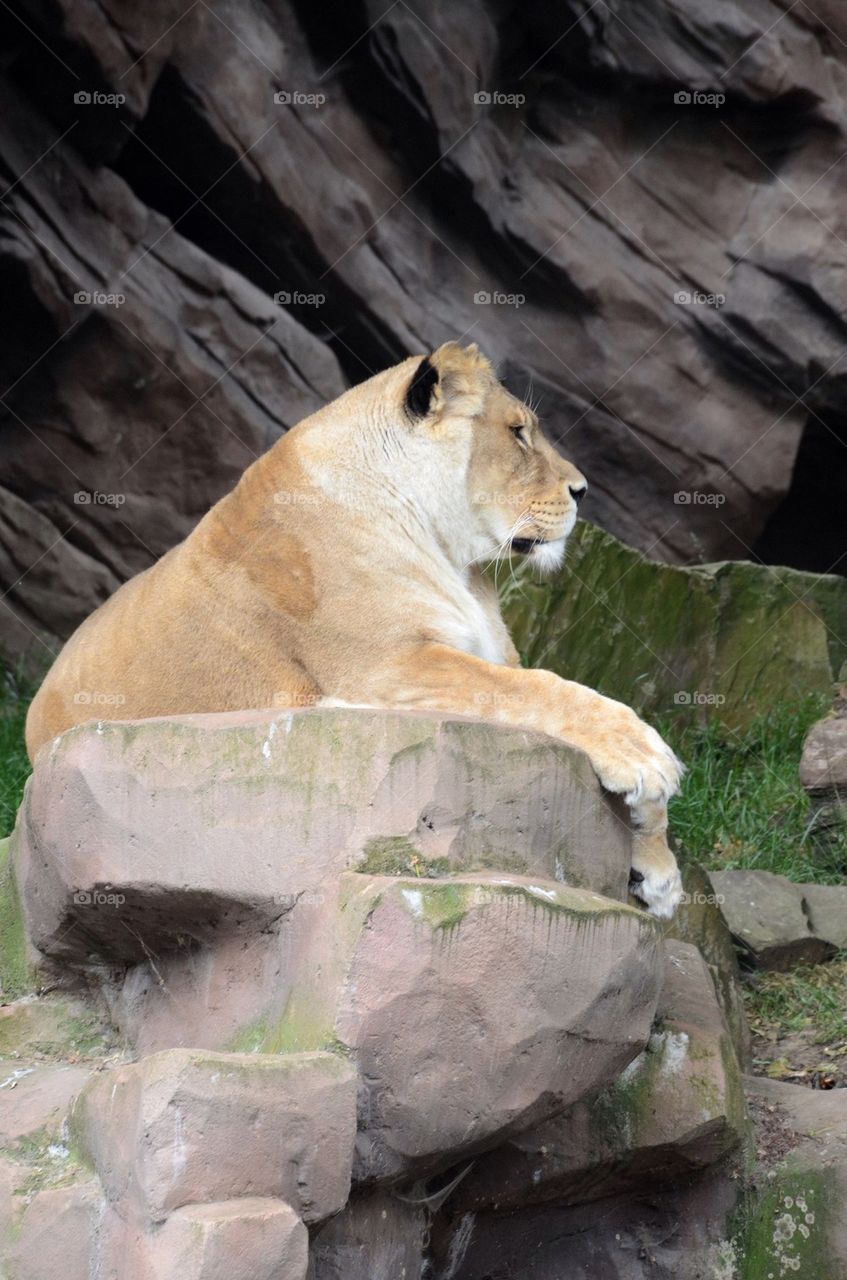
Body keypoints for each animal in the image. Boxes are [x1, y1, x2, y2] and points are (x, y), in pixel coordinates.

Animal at [26, 341, 683, 916]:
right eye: (519, 432)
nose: (582, 490)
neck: (455, 559)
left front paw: (657, 869)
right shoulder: (385, 669)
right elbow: (542, 690)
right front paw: (645, 756)